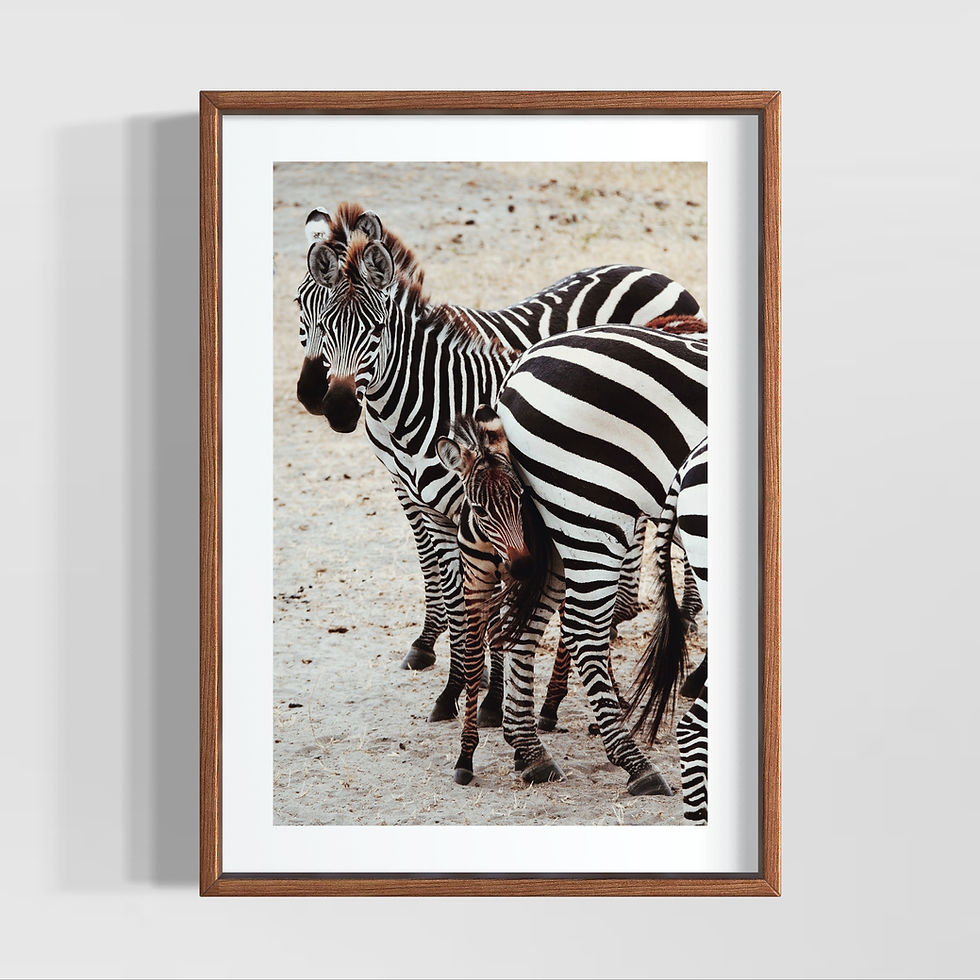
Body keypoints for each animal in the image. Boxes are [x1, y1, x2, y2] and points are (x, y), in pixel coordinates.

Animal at [293, 203, 704, 724]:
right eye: (312, 317)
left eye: (378, 330)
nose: (331, 405)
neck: (426, 406)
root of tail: (652, 272)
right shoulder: (424, 505)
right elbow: (454, 598)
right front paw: (453, 686)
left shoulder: (489, 511)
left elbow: (492, 605)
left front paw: (490, 698)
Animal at [486, 323, 708, 794]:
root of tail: (520, 365)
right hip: (590, 507)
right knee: (583, 627)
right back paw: (636, 763)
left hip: (552, 520)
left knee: (525, 618)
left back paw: (529, 749)